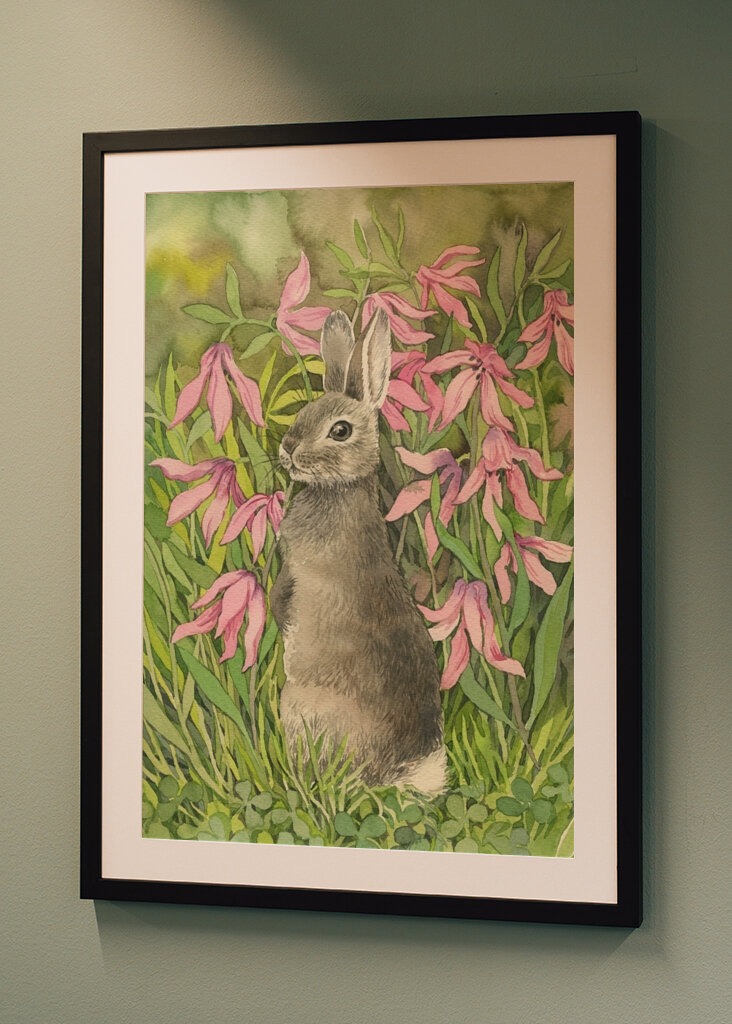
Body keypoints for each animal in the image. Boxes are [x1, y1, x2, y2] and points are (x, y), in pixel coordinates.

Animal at [270, 308, 446, 794]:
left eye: (340, 431)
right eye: (302, 412)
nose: (287, 451)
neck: (337, 490)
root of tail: (395, 769)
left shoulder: (297, 569)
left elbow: (282, 596)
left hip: (297, 709)